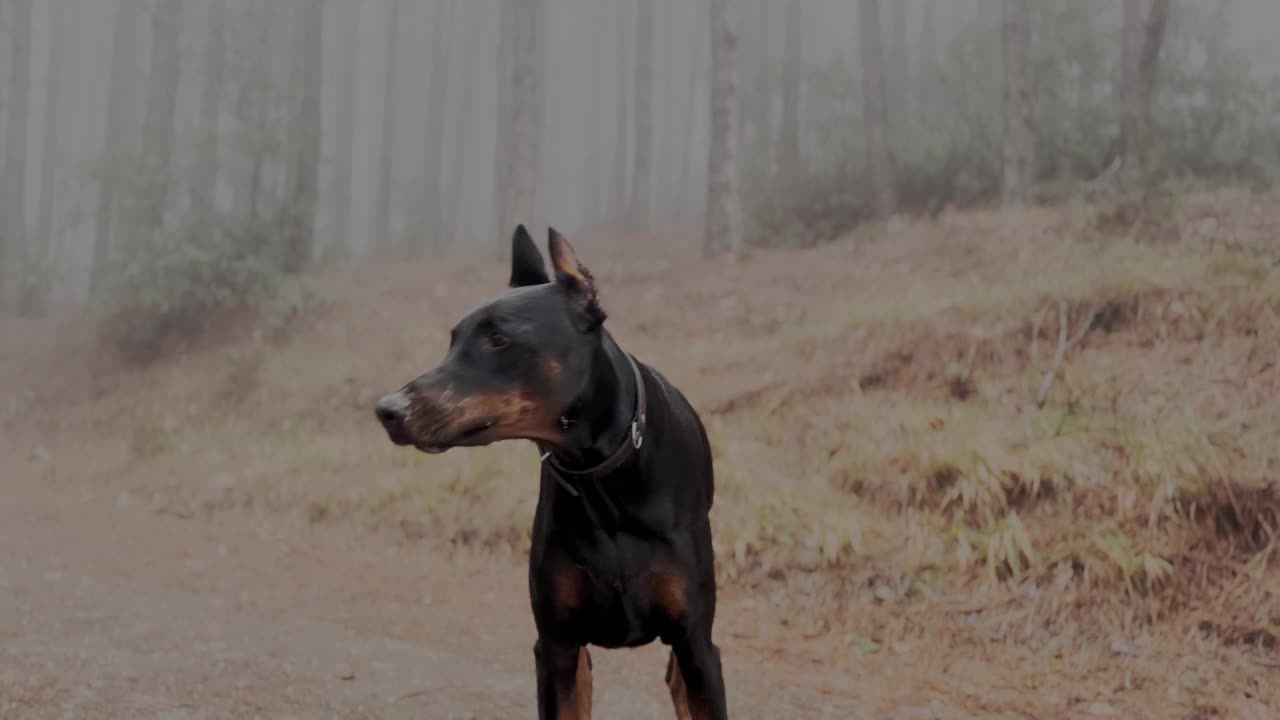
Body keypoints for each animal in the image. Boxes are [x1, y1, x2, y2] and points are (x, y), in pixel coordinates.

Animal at [373, 225, 727, 717]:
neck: (601, 476)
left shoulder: (695, 641)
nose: (388, 410)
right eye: (453, 340)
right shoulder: (556, 643)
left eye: (499, 339)